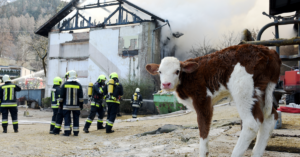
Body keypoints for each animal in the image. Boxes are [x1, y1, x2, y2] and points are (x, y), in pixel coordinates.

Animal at [146, 44, 282, 157]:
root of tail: (269, 51)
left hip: (243, 90)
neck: (187, 78)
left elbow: (203, 128)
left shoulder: (202, 100)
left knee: (251, 123)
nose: (166, 84)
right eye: (160, 71)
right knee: (271, 117)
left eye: (177, 71)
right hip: (263, 91)